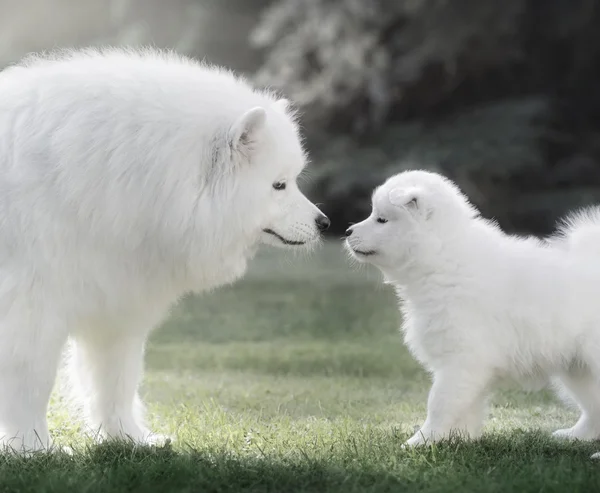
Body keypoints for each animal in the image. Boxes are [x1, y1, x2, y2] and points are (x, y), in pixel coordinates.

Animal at [0, 48, 330, 452]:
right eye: (278, 185)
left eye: (292, 181)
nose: (324, 223)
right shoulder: (31, 309)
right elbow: (31, 383)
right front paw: (32, 448)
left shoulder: (115, 304)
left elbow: (116, 382)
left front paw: (130, 439)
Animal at [344, 169, 600, 450]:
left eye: (381, 219)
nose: (346, 231)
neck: (442, 258)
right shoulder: (467, 365)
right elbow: (466, 406)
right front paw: (458, 439)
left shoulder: (462, 358)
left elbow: (439, 402)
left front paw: (420, 441)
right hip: (578, 368)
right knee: (593, 407)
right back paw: (574, 435)